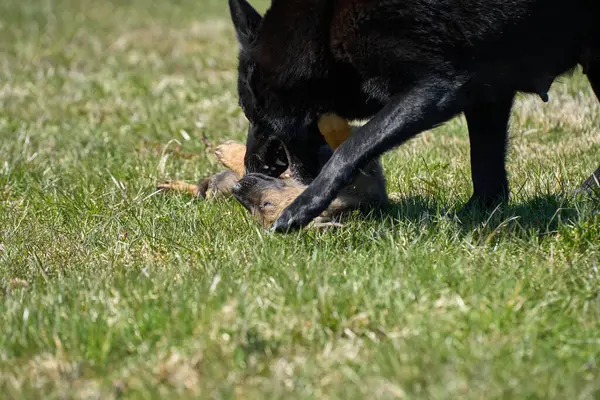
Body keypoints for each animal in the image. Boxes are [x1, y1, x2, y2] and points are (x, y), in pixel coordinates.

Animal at [229, 0, 600, 231]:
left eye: (250, 111)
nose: (246, 168)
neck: (321, 29)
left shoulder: (434, 89)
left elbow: (352, 146)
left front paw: (301, 208)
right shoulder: (489, 95)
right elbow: (486, 170)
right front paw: (479, 214)